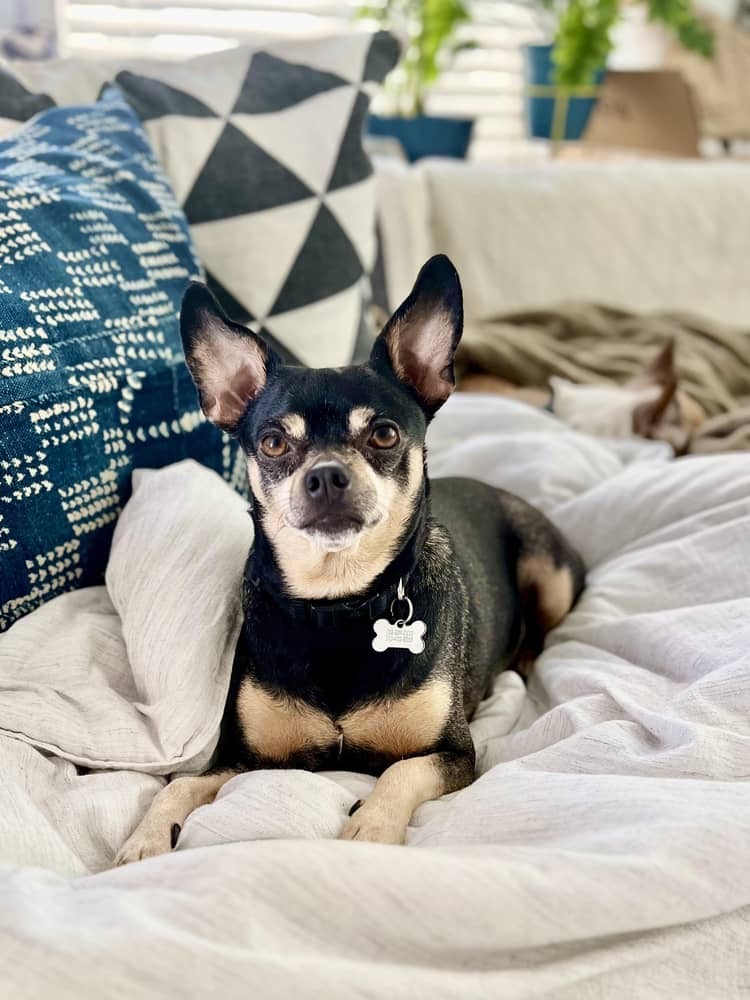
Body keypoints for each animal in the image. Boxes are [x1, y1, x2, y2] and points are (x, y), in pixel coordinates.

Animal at [115, 255, 585, 863]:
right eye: (272, 443)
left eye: (383, 434)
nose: (325, 476)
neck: (337, 603)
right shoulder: (246, 760)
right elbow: (178, 786)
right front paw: (144, 838)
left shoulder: (455, 753)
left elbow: (399, 773)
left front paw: (370, 828)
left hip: (548, 572)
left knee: (544, 627)